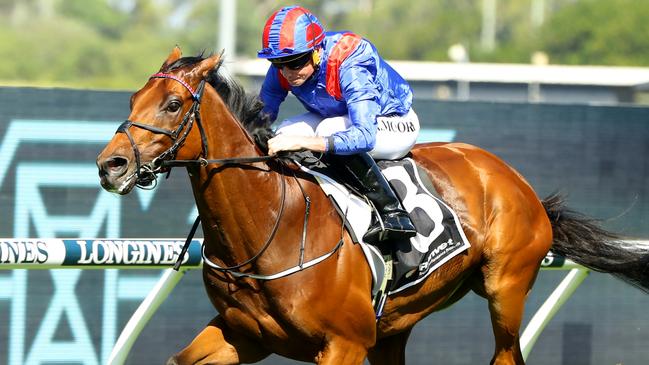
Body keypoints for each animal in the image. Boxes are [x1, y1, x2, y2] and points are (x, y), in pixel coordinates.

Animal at [96, 48, 648, 364]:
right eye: (131, 99)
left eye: (173, 105)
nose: (111, 165)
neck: (270, 227)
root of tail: (514, 178)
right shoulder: (242, 335)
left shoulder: (344, 344)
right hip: (396, 327)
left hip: (505, 289)